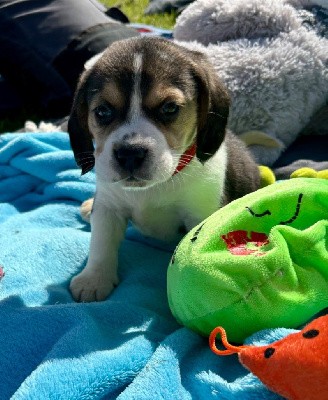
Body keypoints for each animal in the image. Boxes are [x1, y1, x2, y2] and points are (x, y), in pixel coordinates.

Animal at [68, 37, 260, 302]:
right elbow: (101, 243)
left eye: (169, 108)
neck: (157, 185)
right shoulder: (108, 208)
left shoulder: (201, 215)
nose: (130, 153)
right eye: (102, 111)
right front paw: (94, 278)